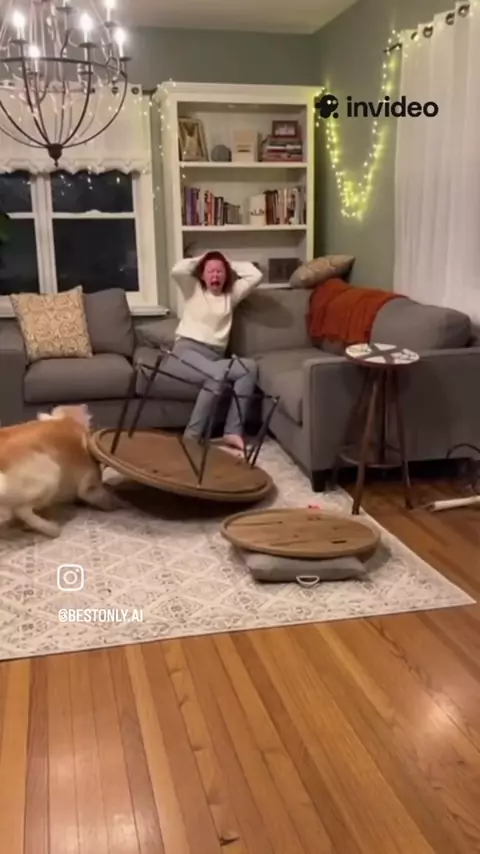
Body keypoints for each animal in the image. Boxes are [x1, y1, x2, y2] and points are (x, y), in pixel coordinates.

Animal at [0, 404, 121, 538]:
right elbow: (103, 496)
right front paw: (115, 503)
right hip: (52, 475)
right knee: (22, 510)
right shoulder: (89, 486)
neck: (67, 420)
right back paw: (51, 528)